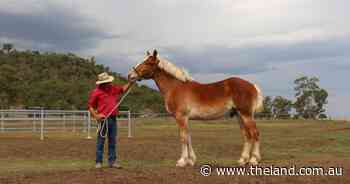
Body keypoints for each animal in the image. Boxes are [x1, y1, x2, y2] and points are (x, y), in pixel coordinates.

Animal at [128, 49, 262, 167]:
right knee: (247, 135)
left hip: (246, 115)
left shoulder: (181, 117)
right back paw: (242, 160)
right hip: (239, 115)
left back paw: (254, 160)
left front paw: (182, 161)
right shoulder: (185, 119)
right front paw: (191, 160)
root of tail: (252, 85)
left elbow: (183, 137)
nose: (130, 75)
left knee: (254, 133)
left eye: (148, 62)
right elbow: (188, 137)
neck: (175, 87)